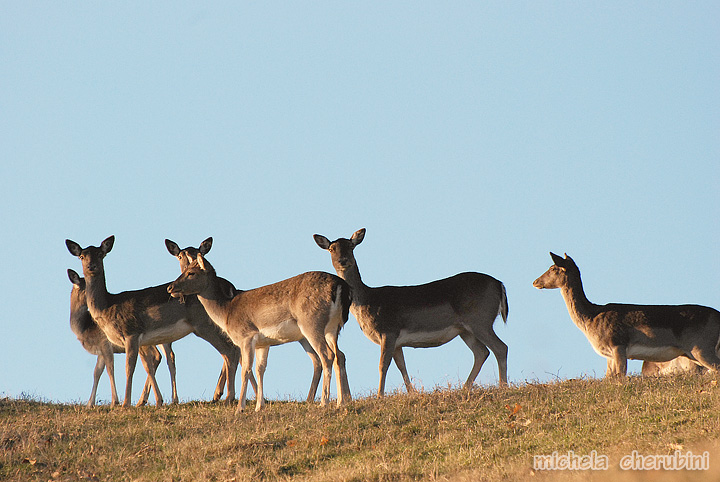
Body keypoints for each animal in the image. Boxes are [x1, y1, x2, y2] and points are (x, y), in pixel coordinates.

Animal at [67, 268, 174, 406]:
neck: (85, 328)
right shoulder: (100, 351)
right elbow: (96, 372)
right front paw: (90, 404)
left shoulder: (104, 343)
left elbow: (109, 369)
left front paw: (115, 401)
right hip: (162, 338)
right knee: (168, 356)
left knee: (157, 356)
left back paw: (144, 400)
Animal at [166, 252, 352, 414]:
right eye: (183, 270)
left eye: (191, 273)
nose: (170, 287)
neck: (226, 312)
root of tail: (340, 286)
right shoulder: (264, 343)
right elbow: (260, 369)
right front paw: (258, 407)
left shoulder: (245, 336)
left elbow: (246, 370)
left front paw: (240, 408)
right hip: (332, 328)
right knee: (339, 355)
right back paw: (341, 402)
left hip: (311, 323)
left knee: (327, 355)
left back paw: (324, 403)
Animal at [312, 228, 510, 398]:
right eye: (332, 248)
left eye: (351, 246)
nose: (343, 261)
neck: (368, 301)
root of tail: (500, 285)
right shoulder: (397, 341)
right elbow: (401, 365)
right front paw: (411, 392)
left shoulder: (388, 330)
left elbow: (383, 365)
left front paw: (380, 395)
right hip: (465, 329)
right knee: (482, 352)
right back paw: (466, 387)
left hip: (480, 319)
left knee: (500, 347)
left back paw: (503, 386)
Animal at [536, 252, 720, 376]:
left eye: (553, 268)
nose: (535, 282)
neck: (591, 318)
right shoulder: (609, 355)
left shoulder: (618, 345)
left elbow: (620, 377)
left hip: (701, 347)